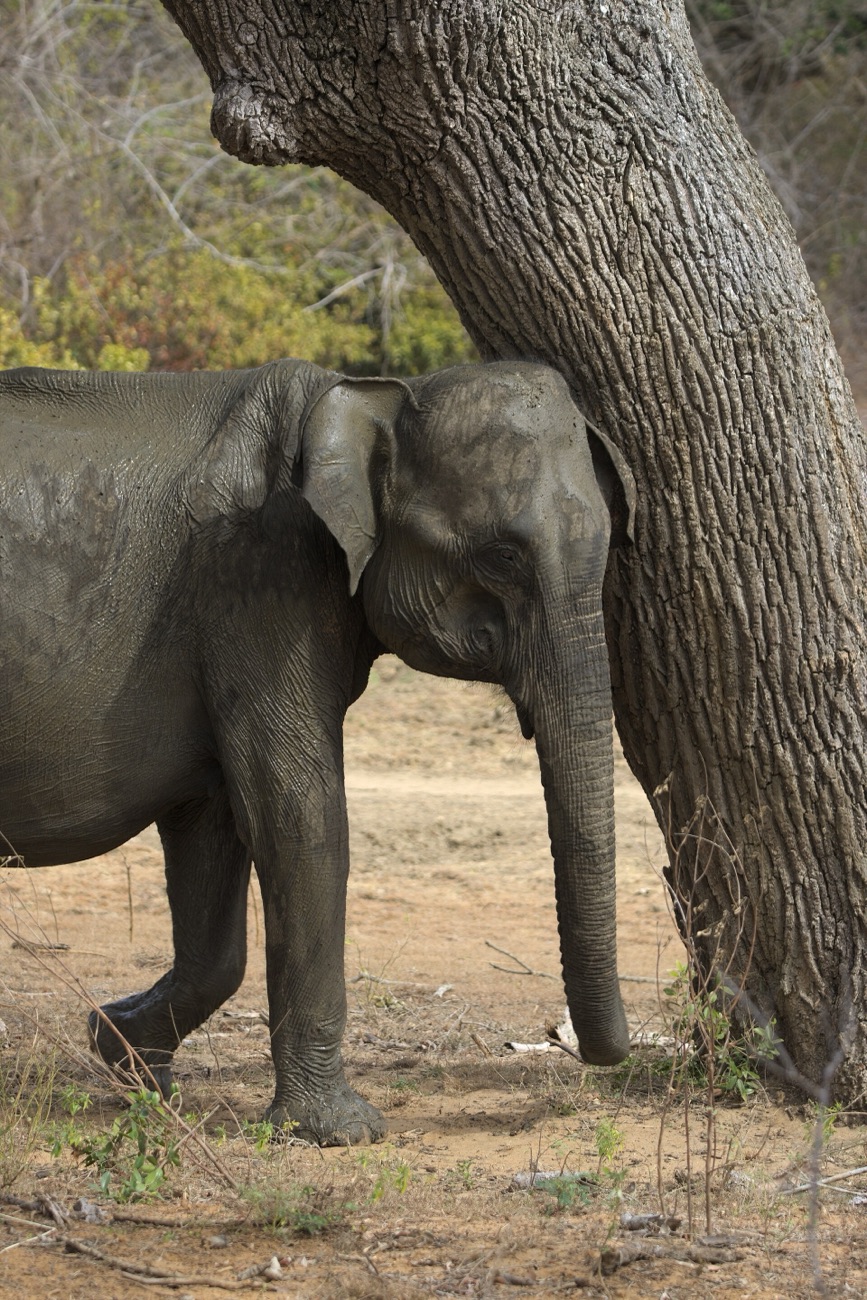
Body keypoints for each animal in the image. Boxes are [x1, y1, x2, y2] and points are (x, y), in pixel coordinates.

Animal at [0, 357, 634, 1145]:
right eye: (500, 555)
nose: (569, 1043)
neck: (369, 399)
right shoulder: (260, 583)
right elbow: (297, 814)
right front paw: (342, 1131)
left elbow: (213, 829)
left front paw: (126, 1056)